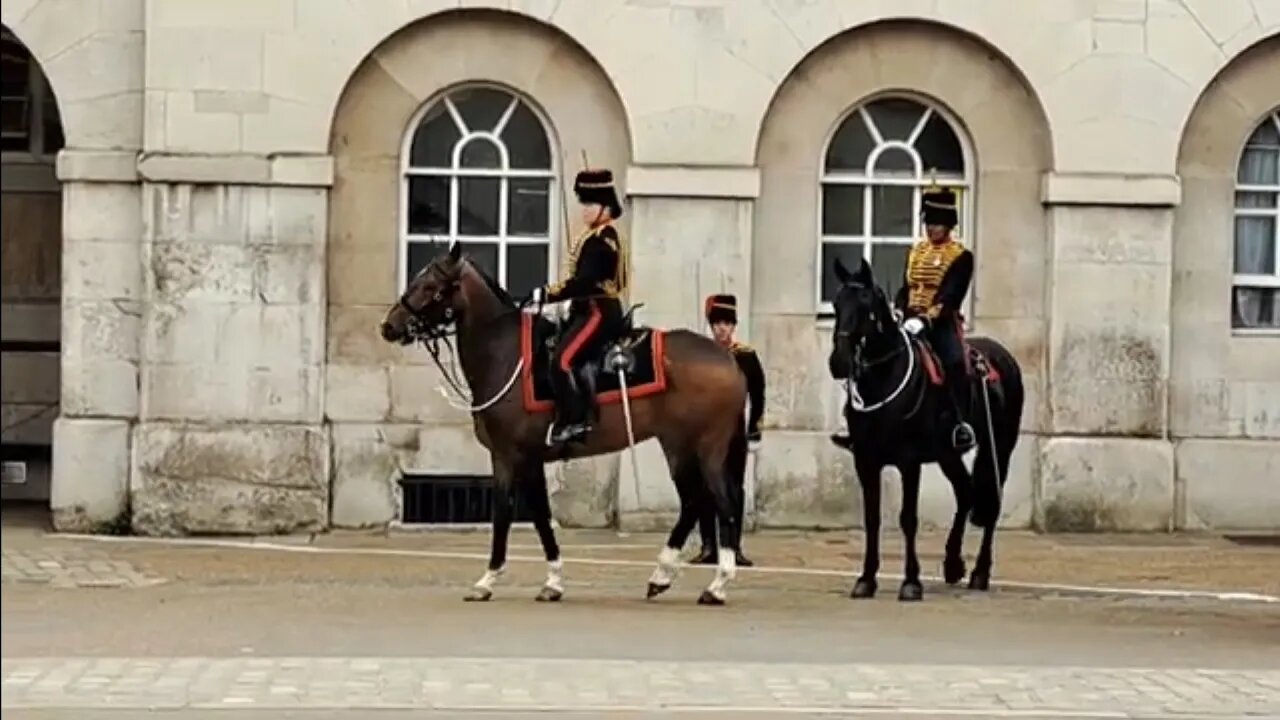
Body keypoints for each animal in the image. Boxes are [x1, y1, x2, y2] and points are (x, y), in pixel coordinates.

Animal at [379, 243, 751, 605]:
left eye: (429, 285)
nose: (389, 326)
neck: (505, 354)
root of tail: (726, 359)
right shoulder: (507, 458)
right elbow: (518, 515)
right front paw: (539, 581)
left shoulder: (521, 455)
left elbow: (523, 515)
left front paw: (500, 579)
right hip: (676, 445)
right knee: (694, 503)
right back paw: (661, 576)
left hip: (706, 446)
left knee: (722, 503)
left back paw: (717, 584)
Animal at [826, 256, 1024, 601]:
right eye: (836, 304)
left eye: (865, 303)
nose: (838, 361)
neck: (885, 378)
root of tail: (1004, 356)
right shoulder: (865, 460)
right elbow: (872, 519)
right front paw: (866, 579)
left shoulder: (909, 461)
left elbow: (908, 518)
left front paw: (911, 582)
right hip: (947, 454)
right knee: (966, 492)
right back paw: (953, 564)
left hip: (1000, 446)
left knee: (991, 503)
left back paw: (979, 572)